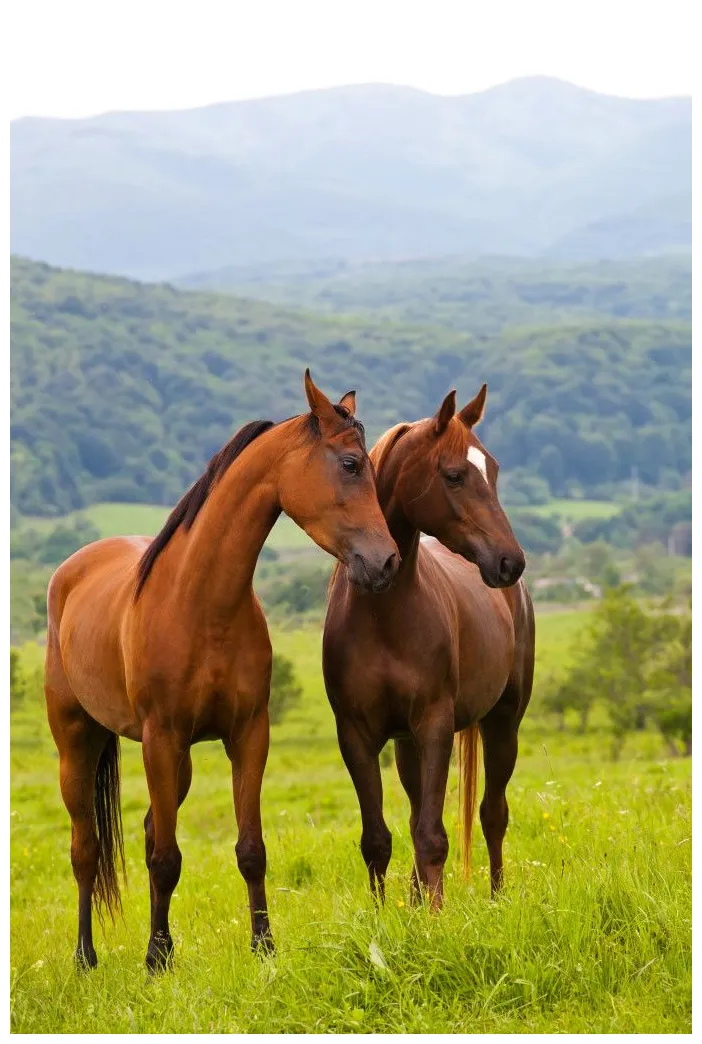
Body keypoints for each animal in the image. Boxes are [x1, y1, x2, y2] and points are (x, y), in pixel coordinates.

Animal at [44, 370, 400, 971]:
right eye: (351, 464)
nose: (388, 562)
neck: (202, 603)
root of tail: (71, 570)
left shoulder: (248, 735)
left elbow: (248, 849)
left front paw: (263, 947)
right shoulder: (161, 738)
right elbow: (166, 858)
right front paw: (155, 961)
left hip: (178, 762)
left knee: (148, 831)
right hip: (80, 744)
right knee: (85, 849)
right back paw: (86, 957)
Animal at [323, 384, 535, 910]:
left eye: (493, 468)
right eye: (455, 475)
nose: (510, 561)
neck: (384, 615)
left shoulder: (436, 726)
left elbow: (433, 836)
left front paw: (437, 921)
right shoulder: (356, 737)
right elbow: (378, 839)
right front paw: (386, 918)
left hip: (504, 722)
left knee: (492, 813)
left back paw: (497, 899)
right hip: (405, 745)